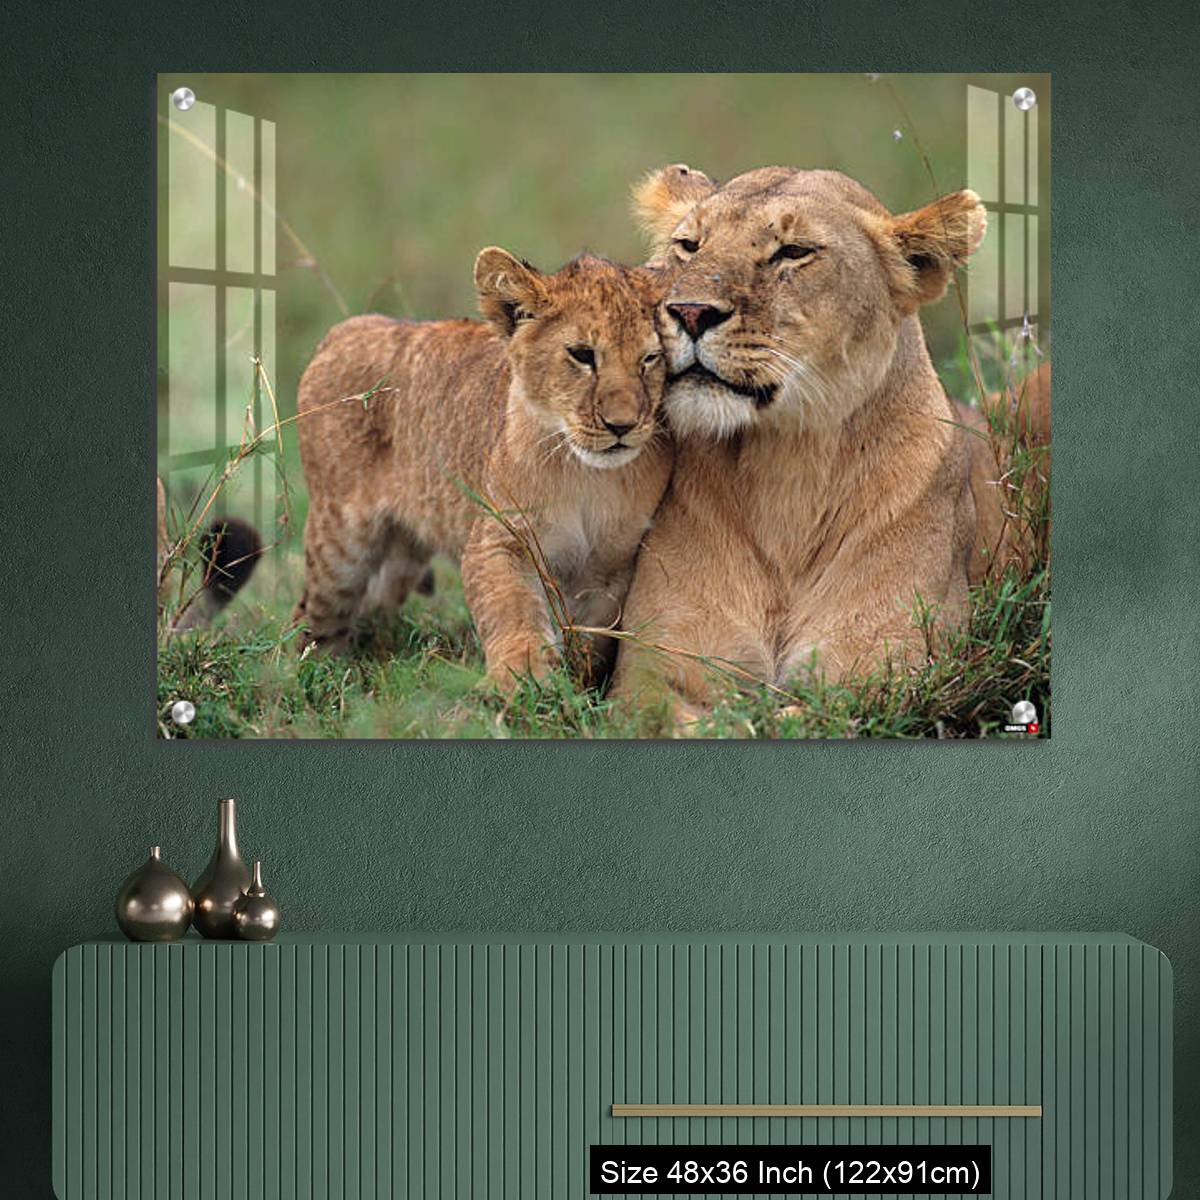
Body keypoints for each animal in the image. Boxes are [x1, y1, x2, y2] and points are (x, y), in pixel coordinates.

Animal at [294, 249, 672, 690]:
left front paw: (576, 685)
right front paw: (523, 676)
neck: (587, 475)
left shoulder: (612, 568)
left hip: (403, 555)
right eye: (582, 354)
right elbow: (512, 608)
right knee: (312, 614)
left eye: (650, 358)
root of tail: (345, 329)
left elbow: (590, 638)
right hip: (340, 542)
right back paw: (304, 672)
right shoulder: (499, 538)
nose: (622, 426)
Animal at [612, 164, 1049, 720]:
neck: (786, 467)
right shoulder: (653, 668)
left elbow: (788, 719)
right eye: (689, 245)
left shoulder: (888, 669)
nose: (688, 312)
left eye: (793, 251)